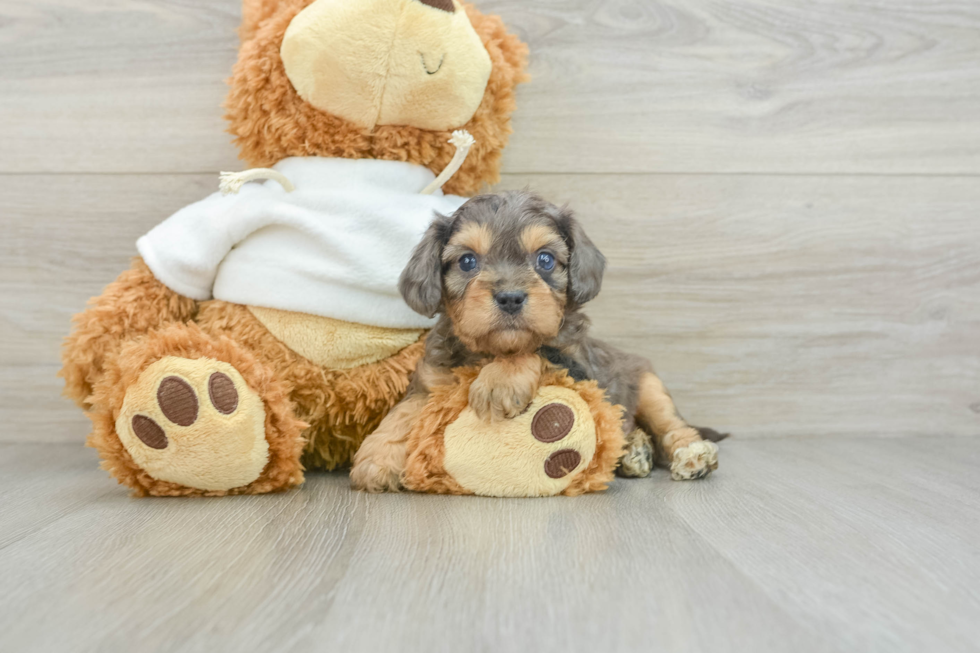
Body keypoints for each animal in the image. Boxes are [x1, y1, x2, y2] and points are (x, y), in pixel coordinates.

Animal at [350, 191, 720, 492]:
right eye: (467, 261)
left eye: (545, 259)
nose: (510, 297)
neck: (490, 352)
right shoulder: (431, 381)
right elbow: (403, 411)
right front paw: (377, 456)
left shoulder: (578, 368)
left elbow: (536, 349)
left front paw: (499, 381)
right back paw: (634, 450)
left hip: (649, 385)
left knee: (672, 426)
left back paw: (691, 455)